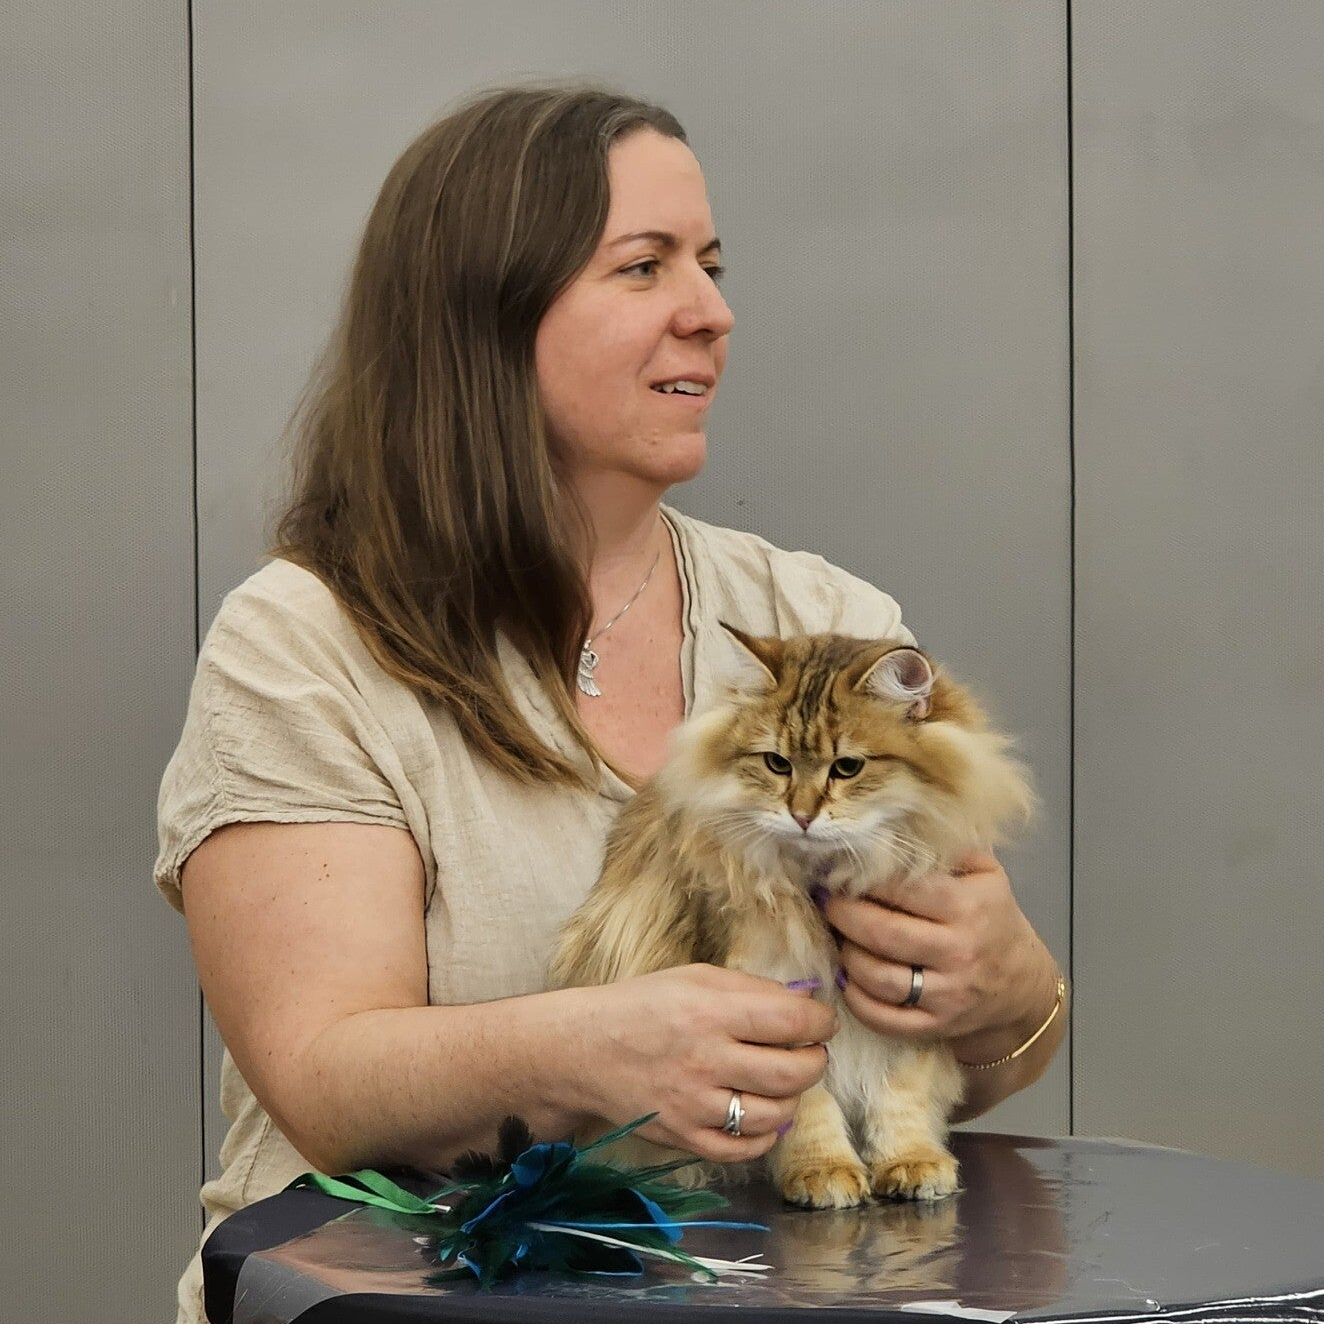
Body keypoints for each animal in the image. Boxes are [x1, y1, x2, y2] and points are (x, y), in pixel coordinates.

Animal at [548, 625, 1033, 1209]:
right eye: (777, 764)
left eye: (847, 767)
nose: (801, 816)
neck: (822, 878)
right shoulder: (778, 997)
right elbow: (808, 1108)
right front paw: (823, 1172)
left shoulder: (911, 1020)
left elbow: (901, 1099)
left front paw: (911, 1163)